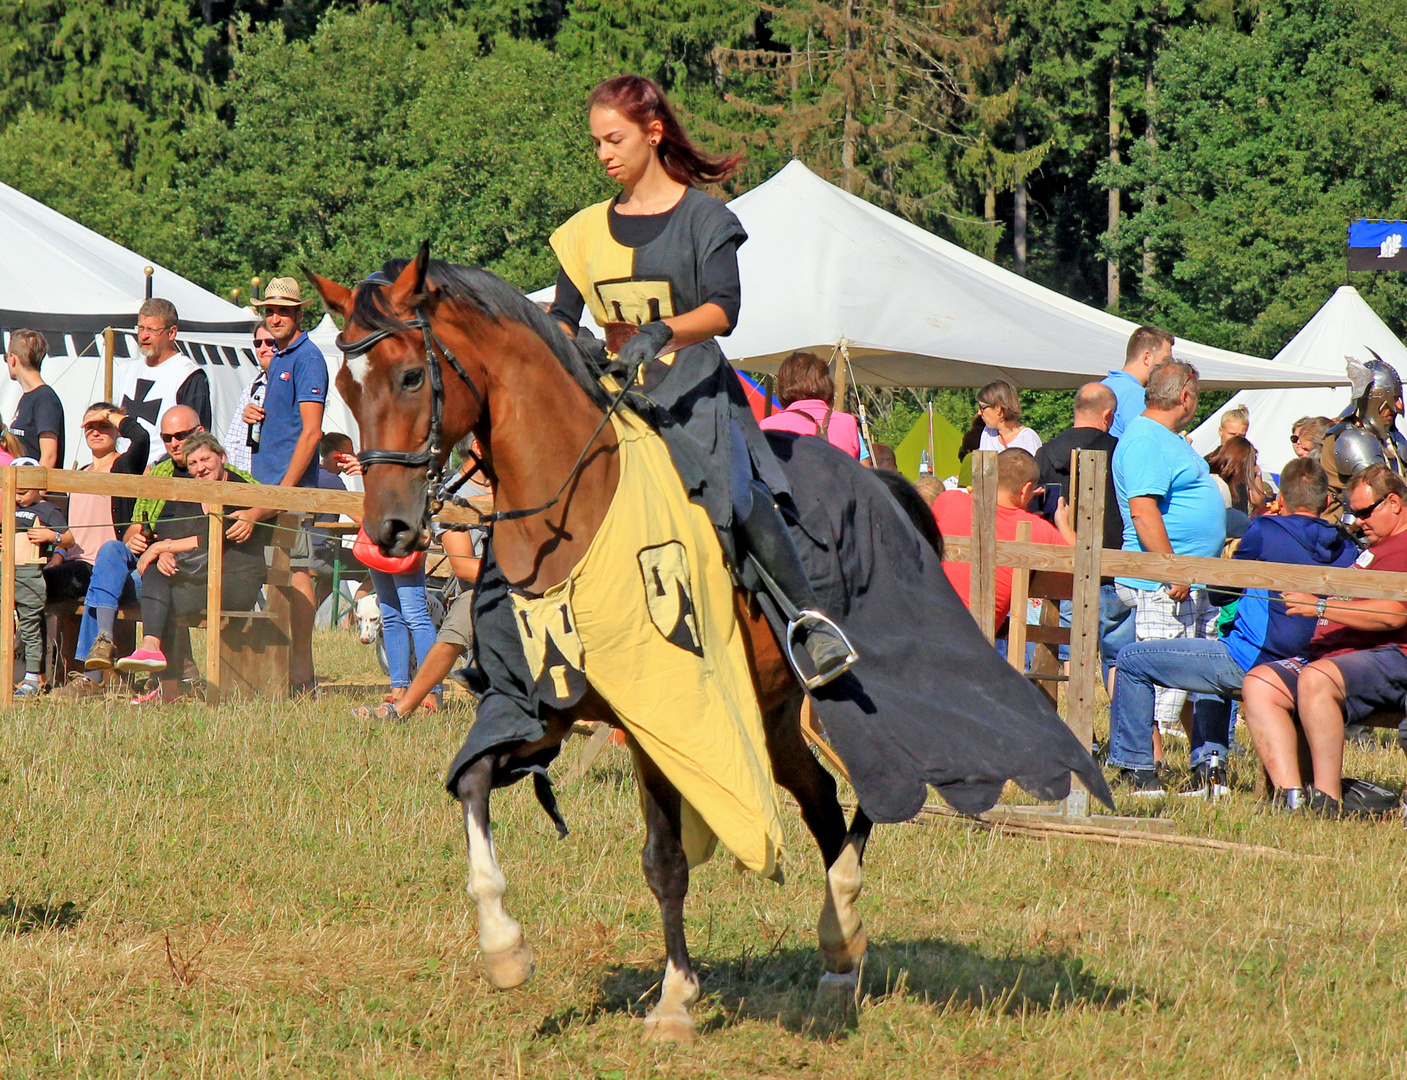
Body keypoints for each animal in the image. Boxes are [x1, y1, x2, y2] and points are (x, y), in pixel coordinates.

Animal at [306, 248, 917, 1040]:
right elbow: (473, 783)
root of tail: (887, 487)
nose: (388, 531)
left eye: (411, 375)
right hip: (777, 716)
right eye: (348, 386)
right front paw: (505, 950)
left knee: (866, 793)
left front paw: (675, 1003)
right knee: (821, 804)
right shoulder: (541, 709)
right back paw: (838, 958)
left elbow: (666, 860)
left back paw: (842, 918)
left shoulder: (662, 718)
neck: (573, 514)